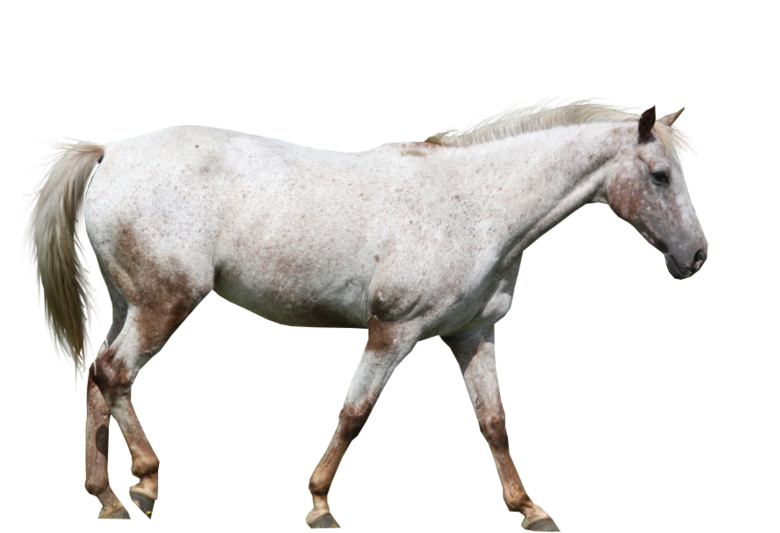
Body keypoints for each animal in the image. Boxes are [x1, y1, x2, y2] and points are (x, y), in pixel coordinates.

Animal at [18, 96, 707, 529]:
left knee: (99, 379)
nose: (696, 256)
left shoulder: (473, 335)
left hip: (132, 304)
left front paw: (530, 509)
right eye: (659, 174)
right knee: (115, 376)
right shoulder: (393, 332)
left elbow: (494, 424)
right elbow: (355, 413)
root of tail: (111, 151)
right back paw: (146, 482)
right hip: (165, 304)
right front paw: (321, 505)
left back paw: (106, 497)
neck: (475, 205)